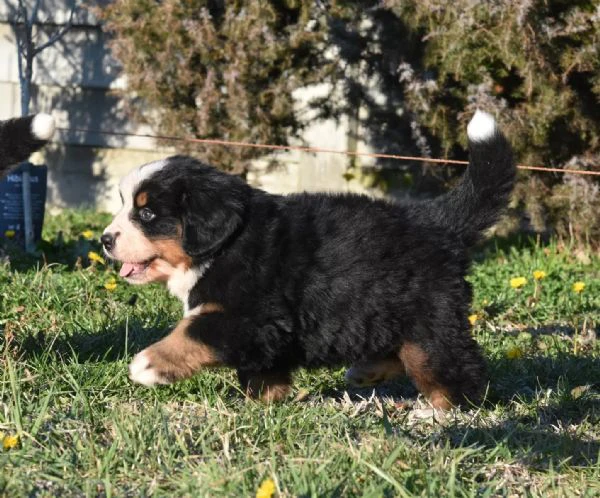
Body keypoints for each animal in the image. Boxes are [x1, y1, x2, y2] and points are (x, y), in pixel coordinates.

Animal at [103, 110, 516, 408]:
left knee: (450, 367)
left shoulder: (250, 316)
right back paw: (366, 372)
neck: (226, 245)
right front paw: (261, 406)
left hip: (432, 319)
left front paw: (149, 364)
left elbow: (193, 332)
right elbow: (261, 372)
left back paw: (443, 413)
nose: (105, 240)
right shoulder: (269, 333)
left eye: (147, 214)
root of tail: (434, 219)